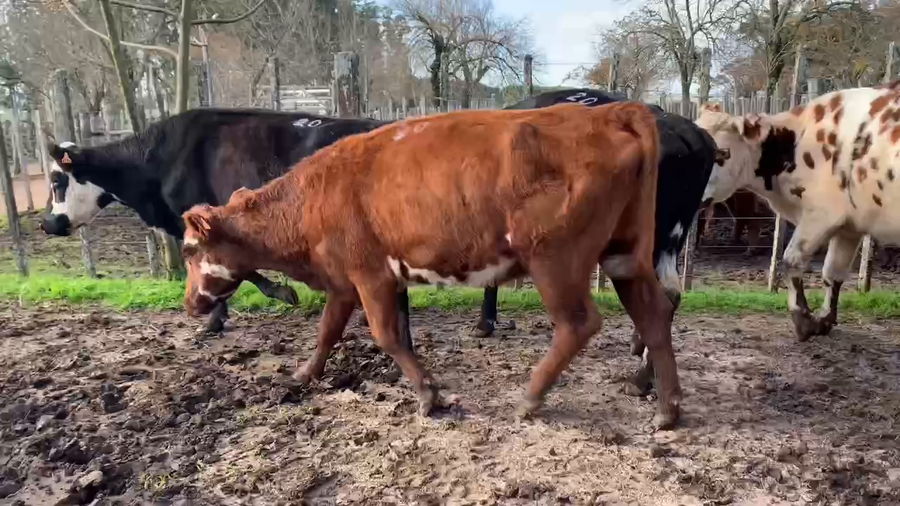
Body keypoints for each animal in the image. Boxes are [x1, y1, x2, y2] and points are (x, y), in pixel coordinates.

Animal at [179, 102, 684, 429]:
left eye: (187, 251)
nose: (188, 303)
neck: (313, 197)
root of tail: (610, 111)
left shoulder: (371, 275)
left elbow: (386, 335)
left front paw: (427, 394)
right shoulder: (344, 281)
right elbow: (327, 330)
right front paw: (304, 375)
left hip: (555, 259)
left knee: (579, 323)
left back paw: (532, 397)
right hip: (625, 254)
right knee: (655, 312)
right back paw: (666, 405)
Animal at [696, 85, 900, 342]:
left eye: (722, 153)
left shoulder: (820, 215)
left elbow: (791, 259)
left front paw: (802, 319)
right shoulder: (849, 226)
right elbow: (833, 272)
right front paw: (824, 319)